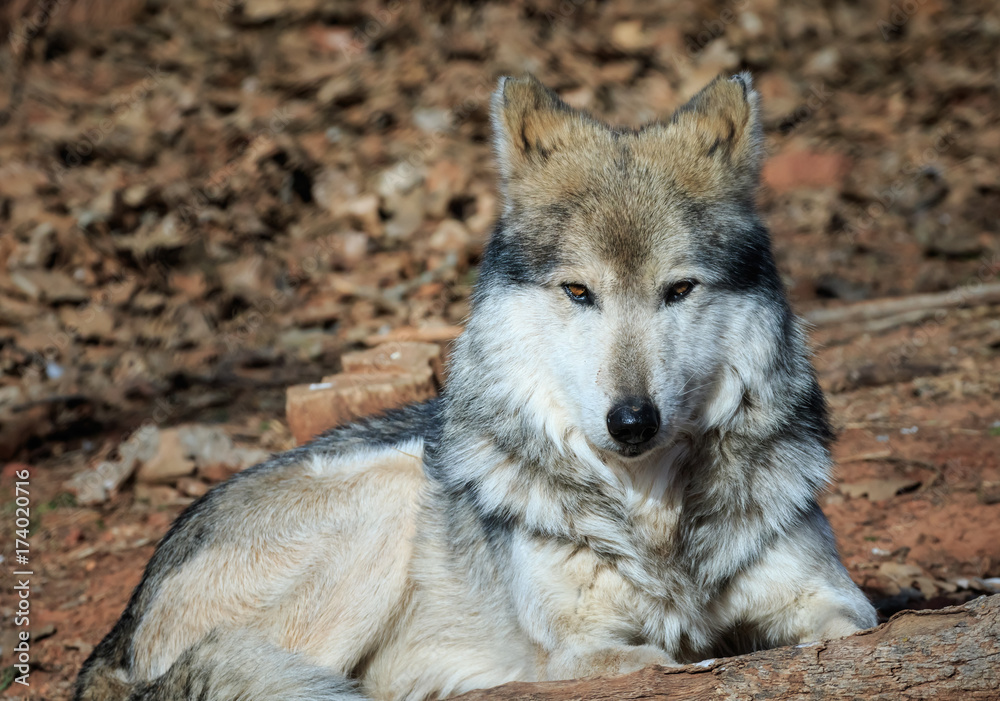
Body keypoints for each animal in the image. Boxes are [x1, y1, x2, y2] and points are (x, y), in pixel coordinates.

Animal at [75, 73, 877, 701]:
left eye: (678, 289)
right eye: (579, 291)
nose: (631, 421)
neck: (652, 514)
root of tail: (112, 642)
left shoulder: (835, 601)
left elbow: (842, 630)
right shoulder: (578, 649)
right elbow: (666, 658)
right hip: (389, 486)